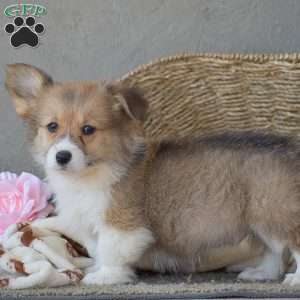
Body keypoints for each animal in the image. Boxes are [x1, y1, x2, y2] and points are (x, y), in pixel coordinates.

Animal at [4, 63, 300, 286]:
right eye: (52, 126)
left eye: (88, 129)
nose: (62, 156)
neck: (88, 176)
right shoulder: (87, 222)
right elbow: (96, 248)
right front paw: (98, 269)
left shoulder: (122, 224)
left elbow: (110, 250)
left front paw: (105, 276)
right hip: (261, 221)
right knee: (275, 250)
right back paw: (262, 273)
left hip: (275, 213)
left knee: (291, 246)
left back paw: (294, 280)